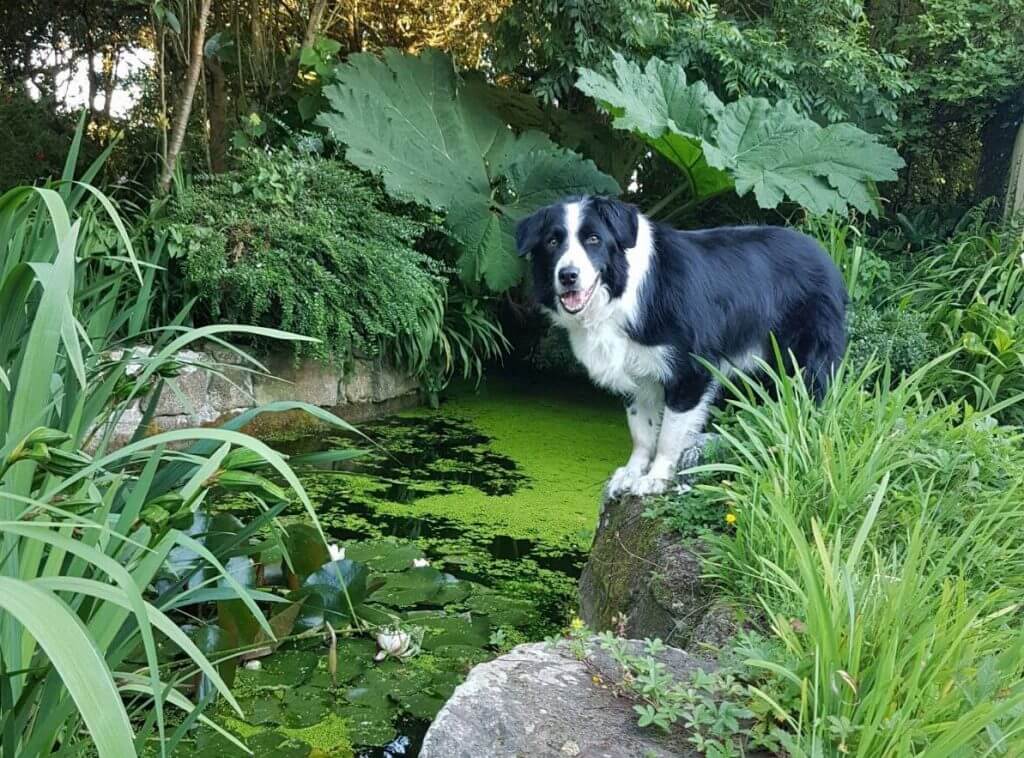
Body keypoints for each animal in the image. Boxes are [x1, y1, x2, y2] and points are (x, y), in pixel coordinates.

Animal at [516, 195, 843, 497]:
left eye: (594, 239)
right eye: (552, 242)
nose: (568, 276)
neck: (627, 295)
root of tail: (823, 254)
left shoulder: (691, 370)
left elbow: (669, 434)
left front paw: (655, 478)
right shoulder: (636, 374)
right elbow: (641, 430)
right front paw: (632, 473)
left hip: (805, 358)